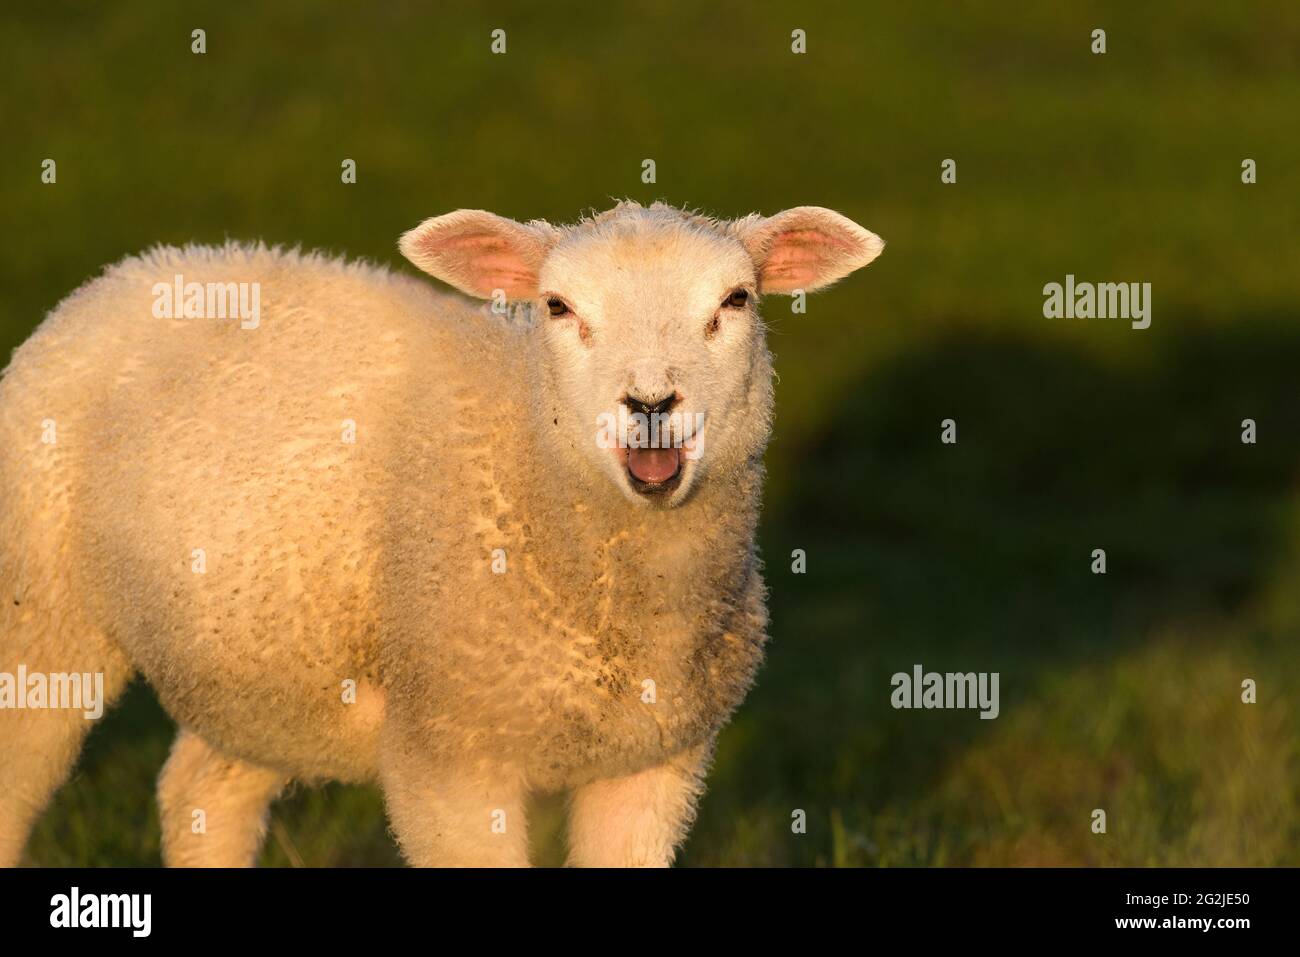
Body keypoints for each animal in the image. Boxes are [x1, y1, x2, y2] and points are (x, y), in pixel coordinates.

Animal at [0, 200, 883, 868]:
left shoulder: (655, 762)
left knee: (200, 792)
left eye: (735, 301)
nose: (651, 405)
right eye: (558, 307)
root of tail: (141, 267)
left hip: (257, 666)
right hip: (40, 609)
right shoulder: (452, 757)